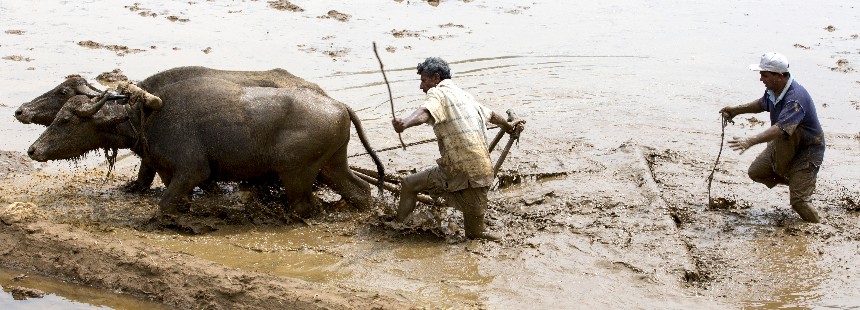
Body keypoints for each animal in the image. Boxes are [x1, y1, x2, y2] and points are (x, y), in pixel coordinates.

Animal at [27, 77, 382, 217]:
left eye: (65, 120)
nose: (33, 150)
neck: (147, 116)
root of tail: (339, 105)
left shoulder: (192, 171)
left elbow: (166, 203)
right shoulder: (171, 173)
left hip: (297, 174)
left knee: (306, 205)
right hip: (332, 166)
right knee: (361, 190)